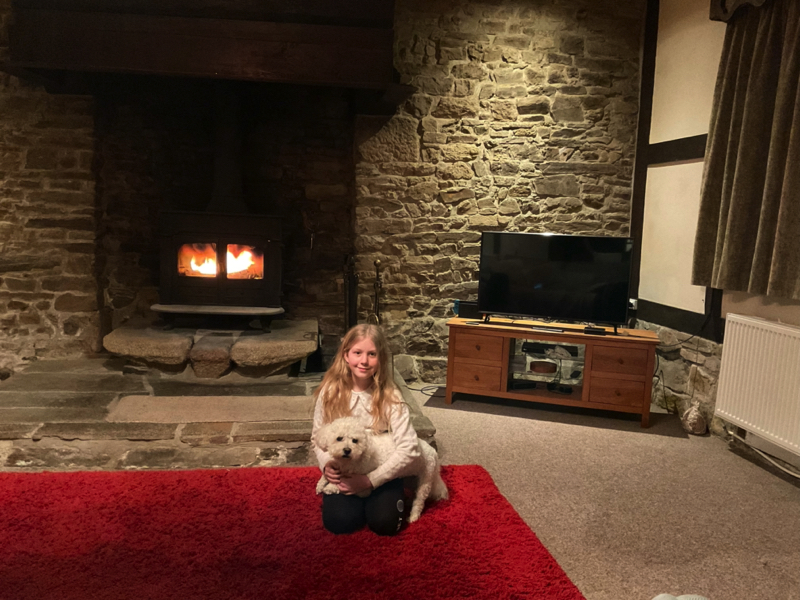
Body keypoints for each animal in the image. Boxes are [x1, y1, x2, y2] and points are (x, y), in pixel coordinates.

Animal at [314, 416, 448, 523]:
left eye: (355, 441)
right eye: (339, 438)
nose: (347, 450)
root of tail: (433, 451)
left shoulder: (363, 490)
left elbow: (344, 485)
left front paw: (331, 487)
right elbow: (330, 468)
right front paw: (321, 483)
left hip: (425, 480)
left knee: (419, 501)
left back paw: (413, 517)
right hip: (410, 478)